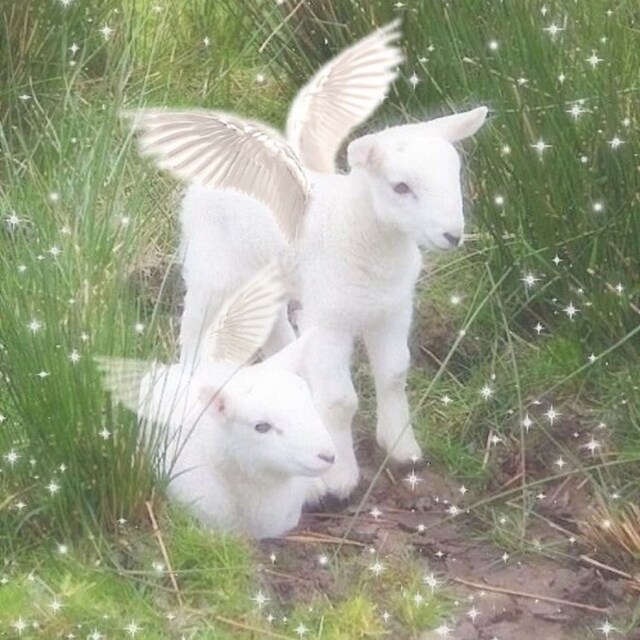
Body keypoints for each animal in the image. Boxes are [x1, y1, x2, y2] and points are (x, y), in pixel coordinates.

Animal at [124, 22, 488, 500]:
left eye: (455, 176)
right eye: (401, 187)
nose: (452, 234)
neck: (366, 235)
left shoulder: (392, 311)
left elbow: (394, 374)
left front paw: (402, 448)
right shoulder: (331, 320)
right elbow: (340, 400)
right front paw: (341, 478)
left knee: (275, 328)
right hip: (212, 266)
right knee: (195, 330)